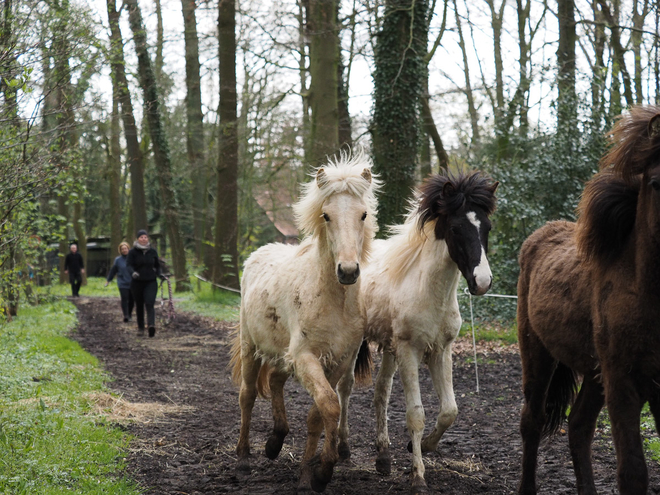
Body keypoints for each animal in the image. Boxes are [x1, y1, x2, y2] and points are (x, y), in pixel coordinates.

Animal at [232, 153, 378, 494]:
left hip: (282, 355)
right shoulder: (306, 357)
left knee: (274, 381)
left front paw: (309, 474)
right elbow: (329, 406)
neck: (333, 303)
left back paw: (275, 441)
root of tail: (258, 253)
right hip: (251, 348)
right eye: (326, 215)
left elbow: (319, 414)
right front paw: (323, 471)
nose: (348, 271)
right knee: (247, 395)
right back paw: (243, 458)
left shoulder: (338, 362)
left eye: (363, 214)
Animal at [340, 171, 496, 495]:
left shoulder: (441, 350)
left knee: (381, 393)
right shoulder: (410, 351)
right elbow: (416, 414)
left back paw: (383, 457)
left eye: (486, 227)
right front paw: (418, 478)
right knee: (345, 388)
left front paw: (421, 447)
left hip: (390, 349)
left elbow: (449, 410)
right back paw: (343, 449)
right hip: (359, 345)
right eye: (456, 228)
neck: (428, 291)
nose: (482, 282)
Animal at [520, 105, 660, 495]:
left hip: (594, 372)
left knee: (578, 426)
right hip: (538, 354)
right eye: (656, 182)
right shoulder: (624, 384)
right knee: (532, 421)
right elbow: (632, 473)